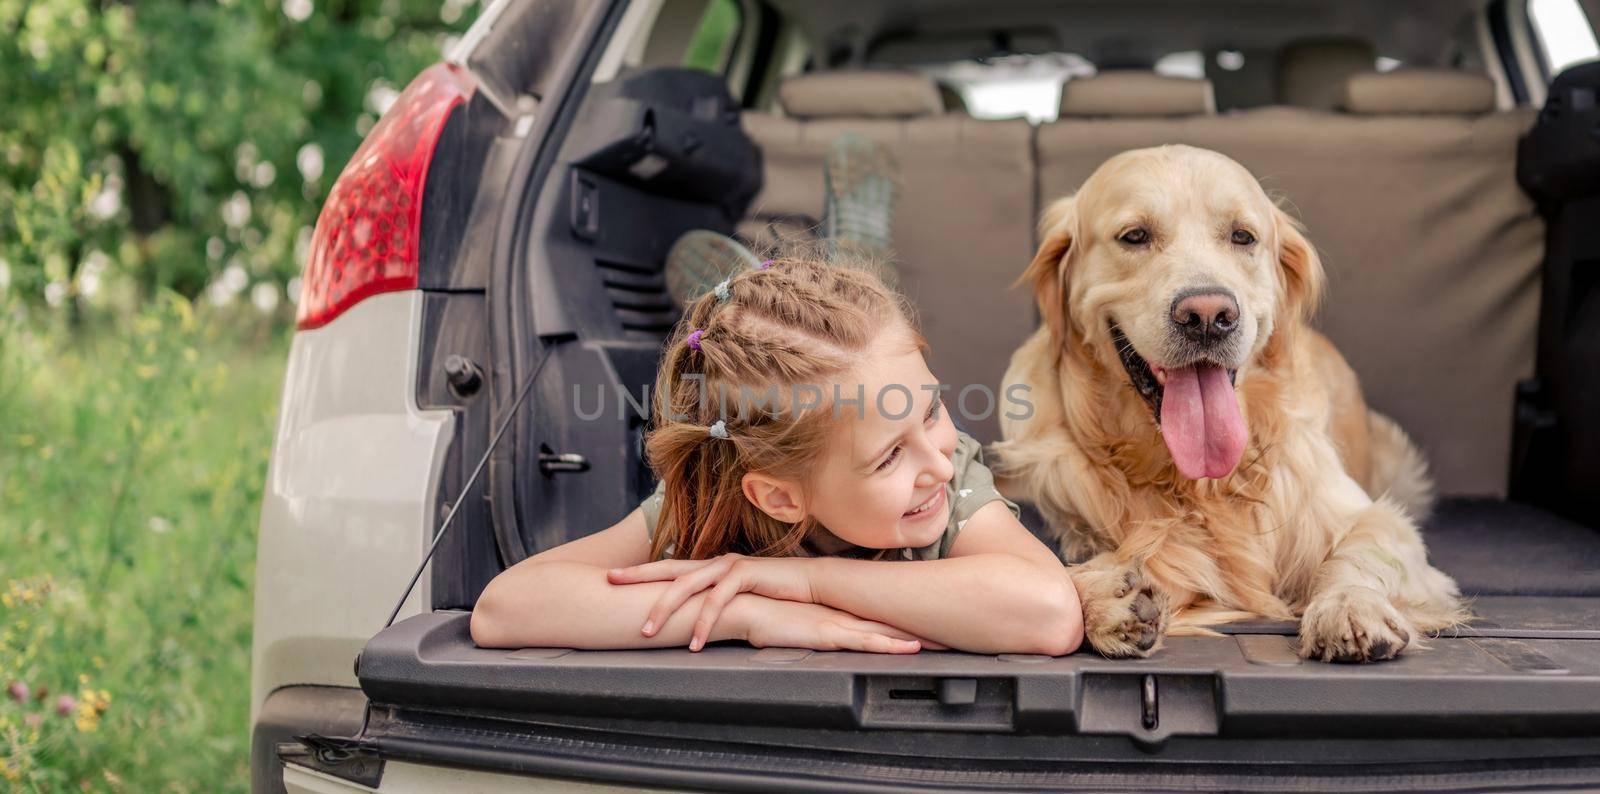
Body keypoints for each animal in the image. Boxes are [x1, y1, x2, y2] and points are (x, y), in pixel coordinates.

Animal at [992, 145, 1465, 659]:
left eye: (1243, 236)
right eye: (1134, 236)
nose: (1206, 316)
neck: (1199, 483)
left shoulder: (1367, 517)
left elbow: (1362, 551)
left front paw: (1349, 605)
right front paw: (1105, 597)